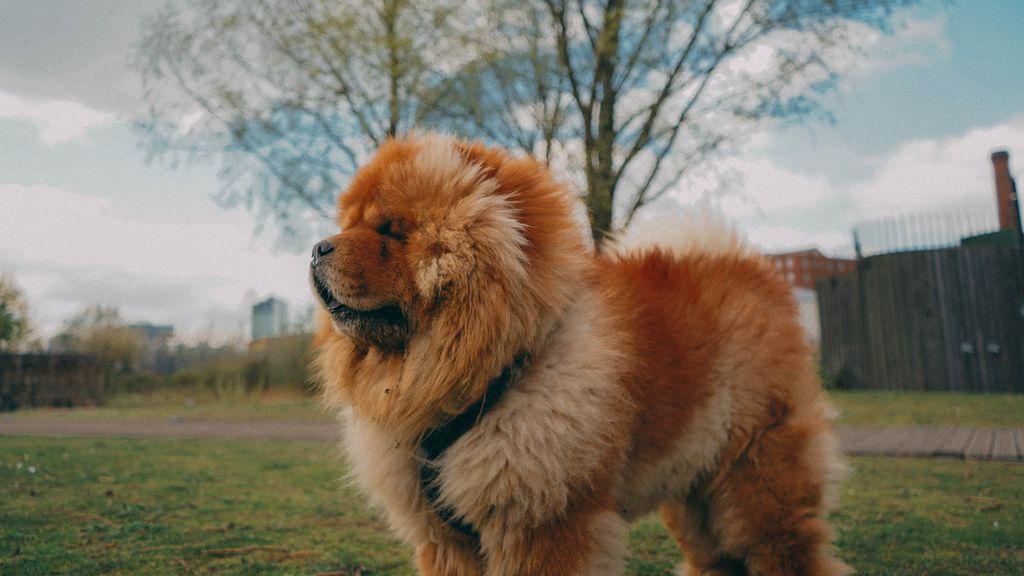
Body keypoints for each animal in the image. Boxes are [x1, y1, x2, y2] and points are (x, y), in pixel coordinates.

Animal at [309, 132, 847, 569]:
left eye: (390, 229)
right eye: (349, 223)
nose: (317, 247)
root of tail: (749, 268)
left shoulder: (545, 519)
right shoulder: (446, 540)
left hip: (756, 477)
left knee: (784, 548)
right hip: (693, 487)